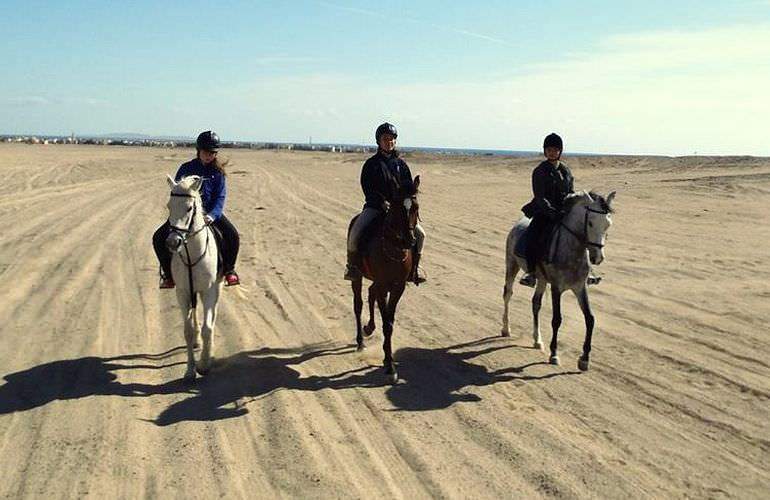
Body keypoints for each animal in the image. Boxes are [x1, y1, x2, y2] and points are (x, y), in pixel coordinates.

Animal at [164, 174, 220, 380]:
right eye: (169, 206)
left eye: (189, 208)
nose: (173, 242)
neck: (191, 254)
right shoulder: (182, 291)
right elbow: (187, 330)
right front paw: (190, 370)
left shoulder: (209, 290)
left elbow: (208, 328)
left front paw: (204, 363)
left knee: (212, 316)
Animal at [350, 176, 416, 382]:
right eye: (395, 207)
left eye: (415, 207)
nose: (409, 241)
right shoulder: (382, 283)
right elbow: (386, 323)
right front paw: (389, 366)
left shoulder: (397, 286)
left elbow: (390, 322)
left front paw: (389, 360)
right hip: (357, 277)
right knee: (358, 304)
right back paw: (360, 342)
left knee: (370, 294)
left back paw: (369, 327)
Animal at [500, 191, 616, 372]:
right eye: (590, 223)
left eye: (607, 224)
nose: (598, 258)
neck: (572, 251)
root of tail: (517, 224)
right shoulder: (557, 287)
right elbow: (557, 319)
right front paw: (554, 354)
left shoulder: (580, 287)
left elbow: (590, 319)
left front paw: (584, 359)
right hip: (512, 264)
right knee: (508, 294)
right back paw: (506, 329)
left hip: (541, 279)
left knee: (536, 303)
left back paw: (537, 340)